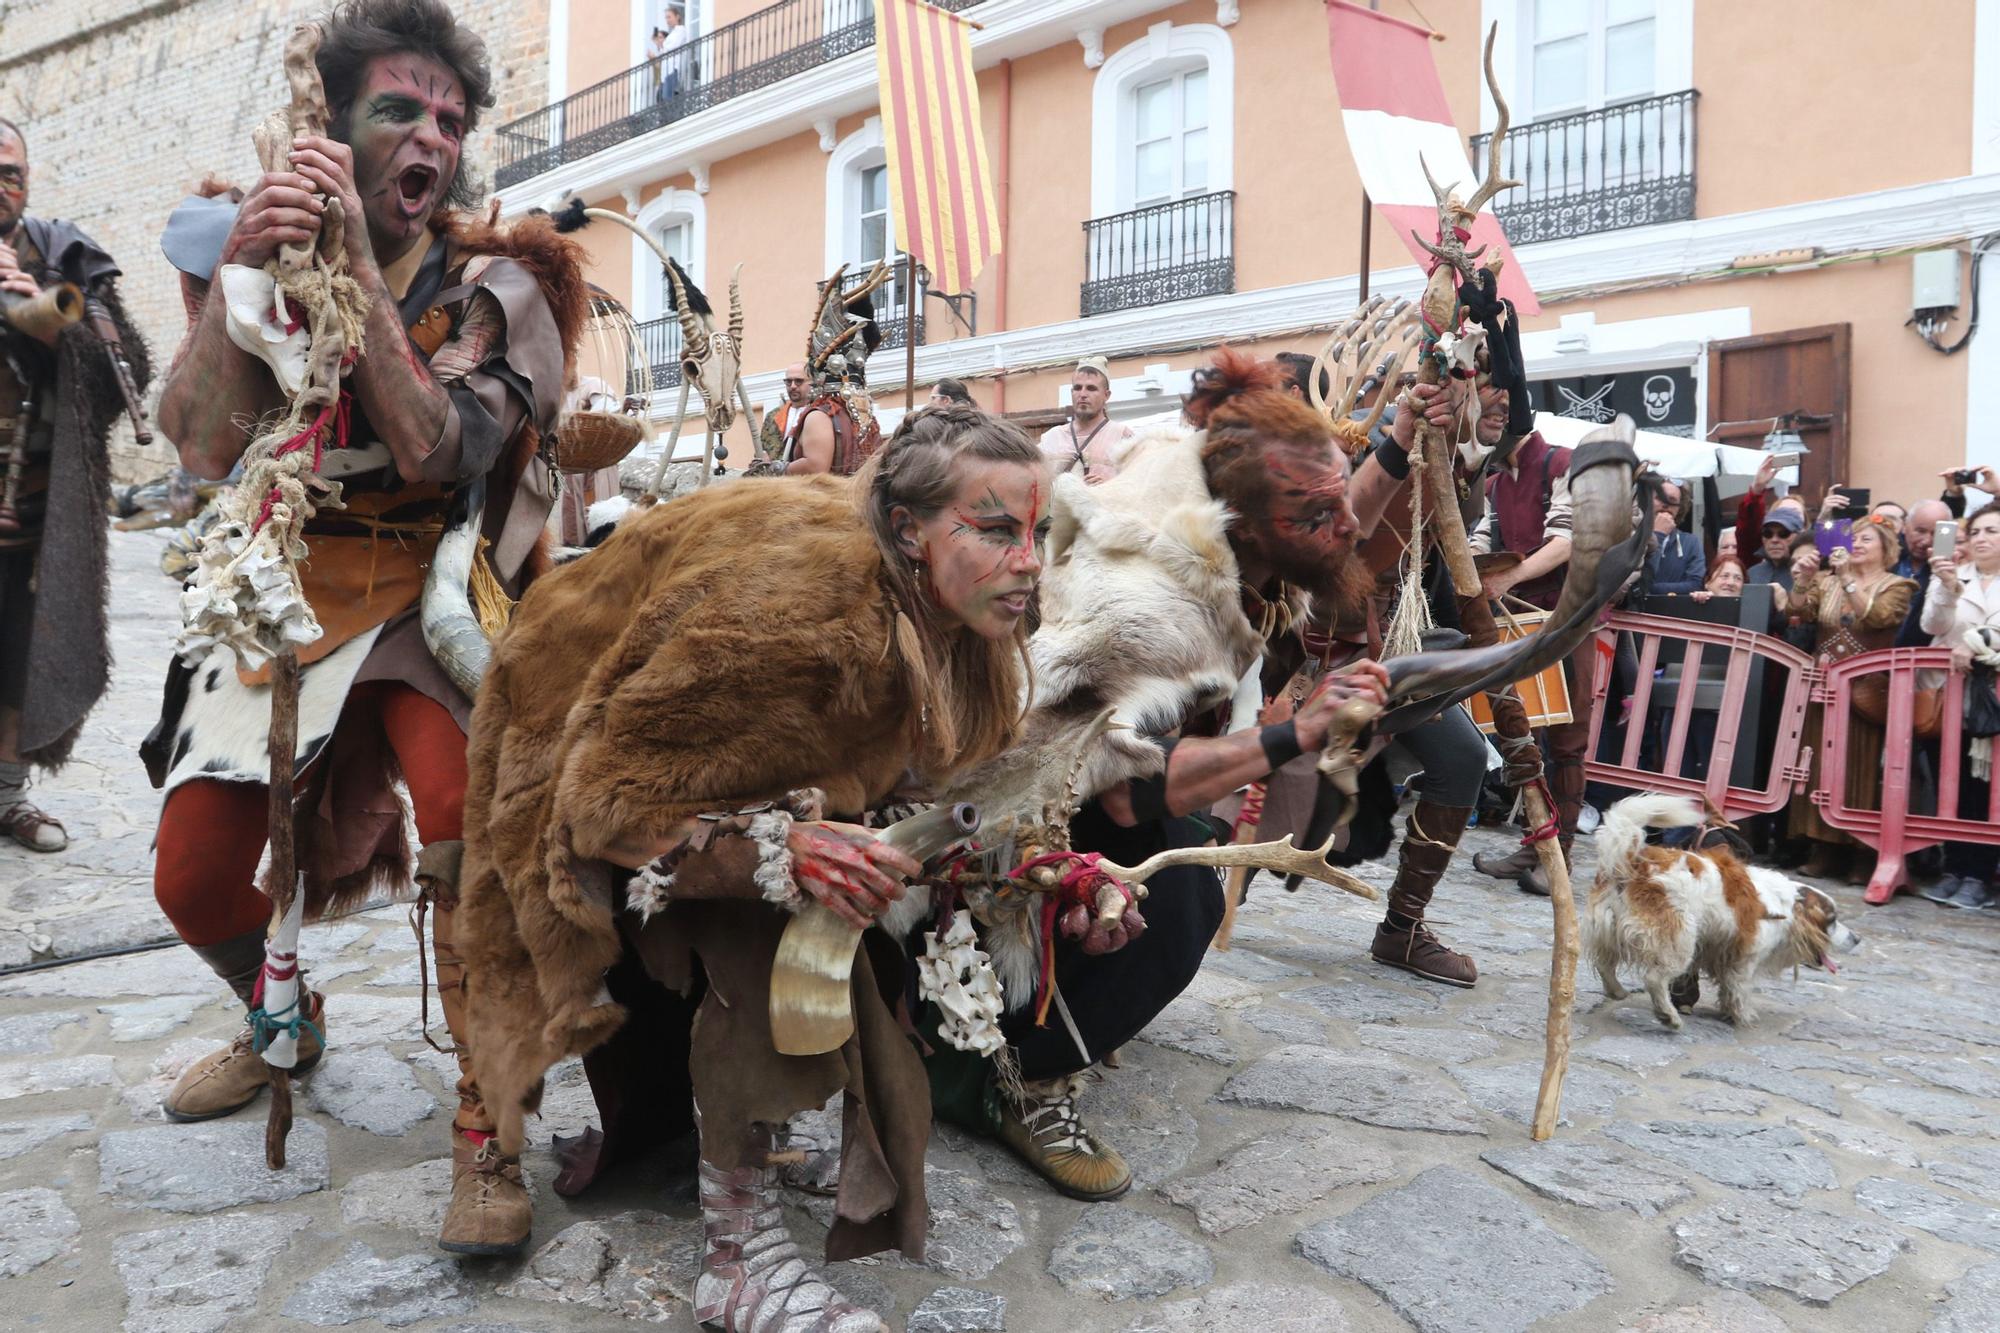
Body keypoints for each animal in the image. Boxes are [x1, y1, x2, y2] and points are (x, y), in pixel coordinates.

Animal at [1592, 788, 1856, 1024]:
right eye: (1831, 921)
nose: (1857, 938)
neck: (1787, 908)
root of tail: (1633, 863)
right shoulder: (1745, 958)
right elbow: (1739, 988)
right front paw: (1742, 1016)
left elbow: (1728, 986)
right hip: (1678, 941)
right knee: (1654, 978)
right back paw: (1668, 1016)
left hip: (1608, 927)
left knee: (1604, 964)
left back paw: (1617, 991)